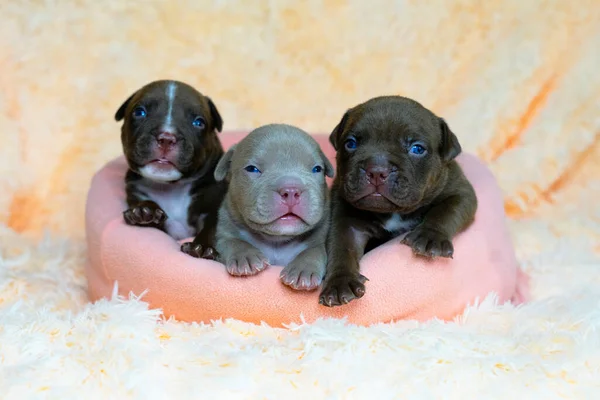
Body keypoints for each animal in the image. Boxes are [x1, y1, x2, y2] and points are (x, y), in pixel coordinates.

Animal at [116, 79, 229, 258]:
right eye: (140, 112)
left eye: (198, 122)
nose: (167, 138)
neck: (171, 187)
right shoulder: (137, 190)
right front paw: (144, 211)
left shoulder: (215, 204)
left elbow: (214, 227)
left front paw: (203, 248)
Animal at [195, 123, 336, 290]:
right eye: (252, 169)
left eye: (317, 169)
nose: (291, 191)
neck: (277, 241)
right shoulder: (224, 231)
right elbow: (233, 241)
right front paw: (245, 256)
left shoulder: (319, 241)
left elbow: (313, 252)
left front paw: (303, 269)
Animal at [318, 96, 478, 306]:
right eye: (350, 144)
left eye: (417, 148)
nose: (377, 170)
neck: (392, 212)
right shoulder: (345, 219)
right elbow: (342, 247)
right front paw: (340, 282)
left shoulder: (460, 192)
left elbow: (446, 211)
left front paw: (430, 236)